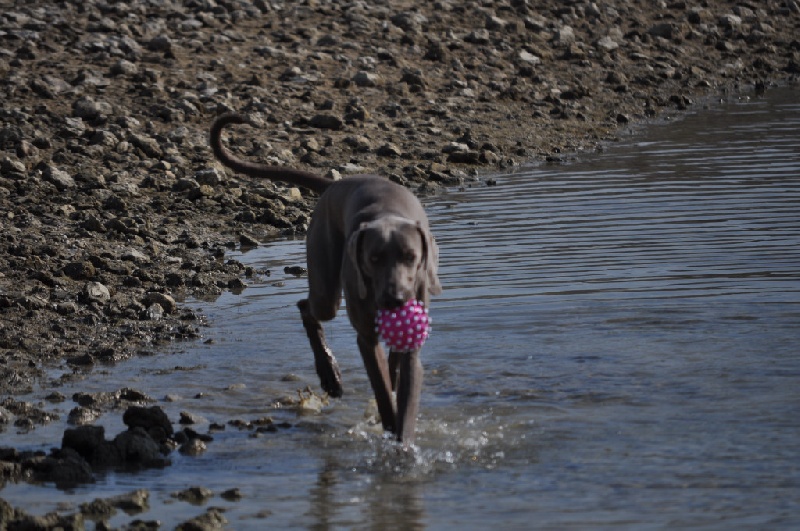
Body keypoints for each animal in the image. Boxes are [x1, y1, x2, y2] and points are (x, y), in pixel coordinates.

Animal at [209, 114, 440, 446]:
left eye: (410, 257)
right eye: (374, 259)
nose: (394, 299)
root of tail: (336, 184)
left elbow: (406, 388)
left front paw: (403, 442)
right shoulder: (366, 336)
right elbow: (382, 389)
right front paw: (388, 426)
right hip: (326, 282)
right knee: (307, 306)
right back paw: (330, 375)